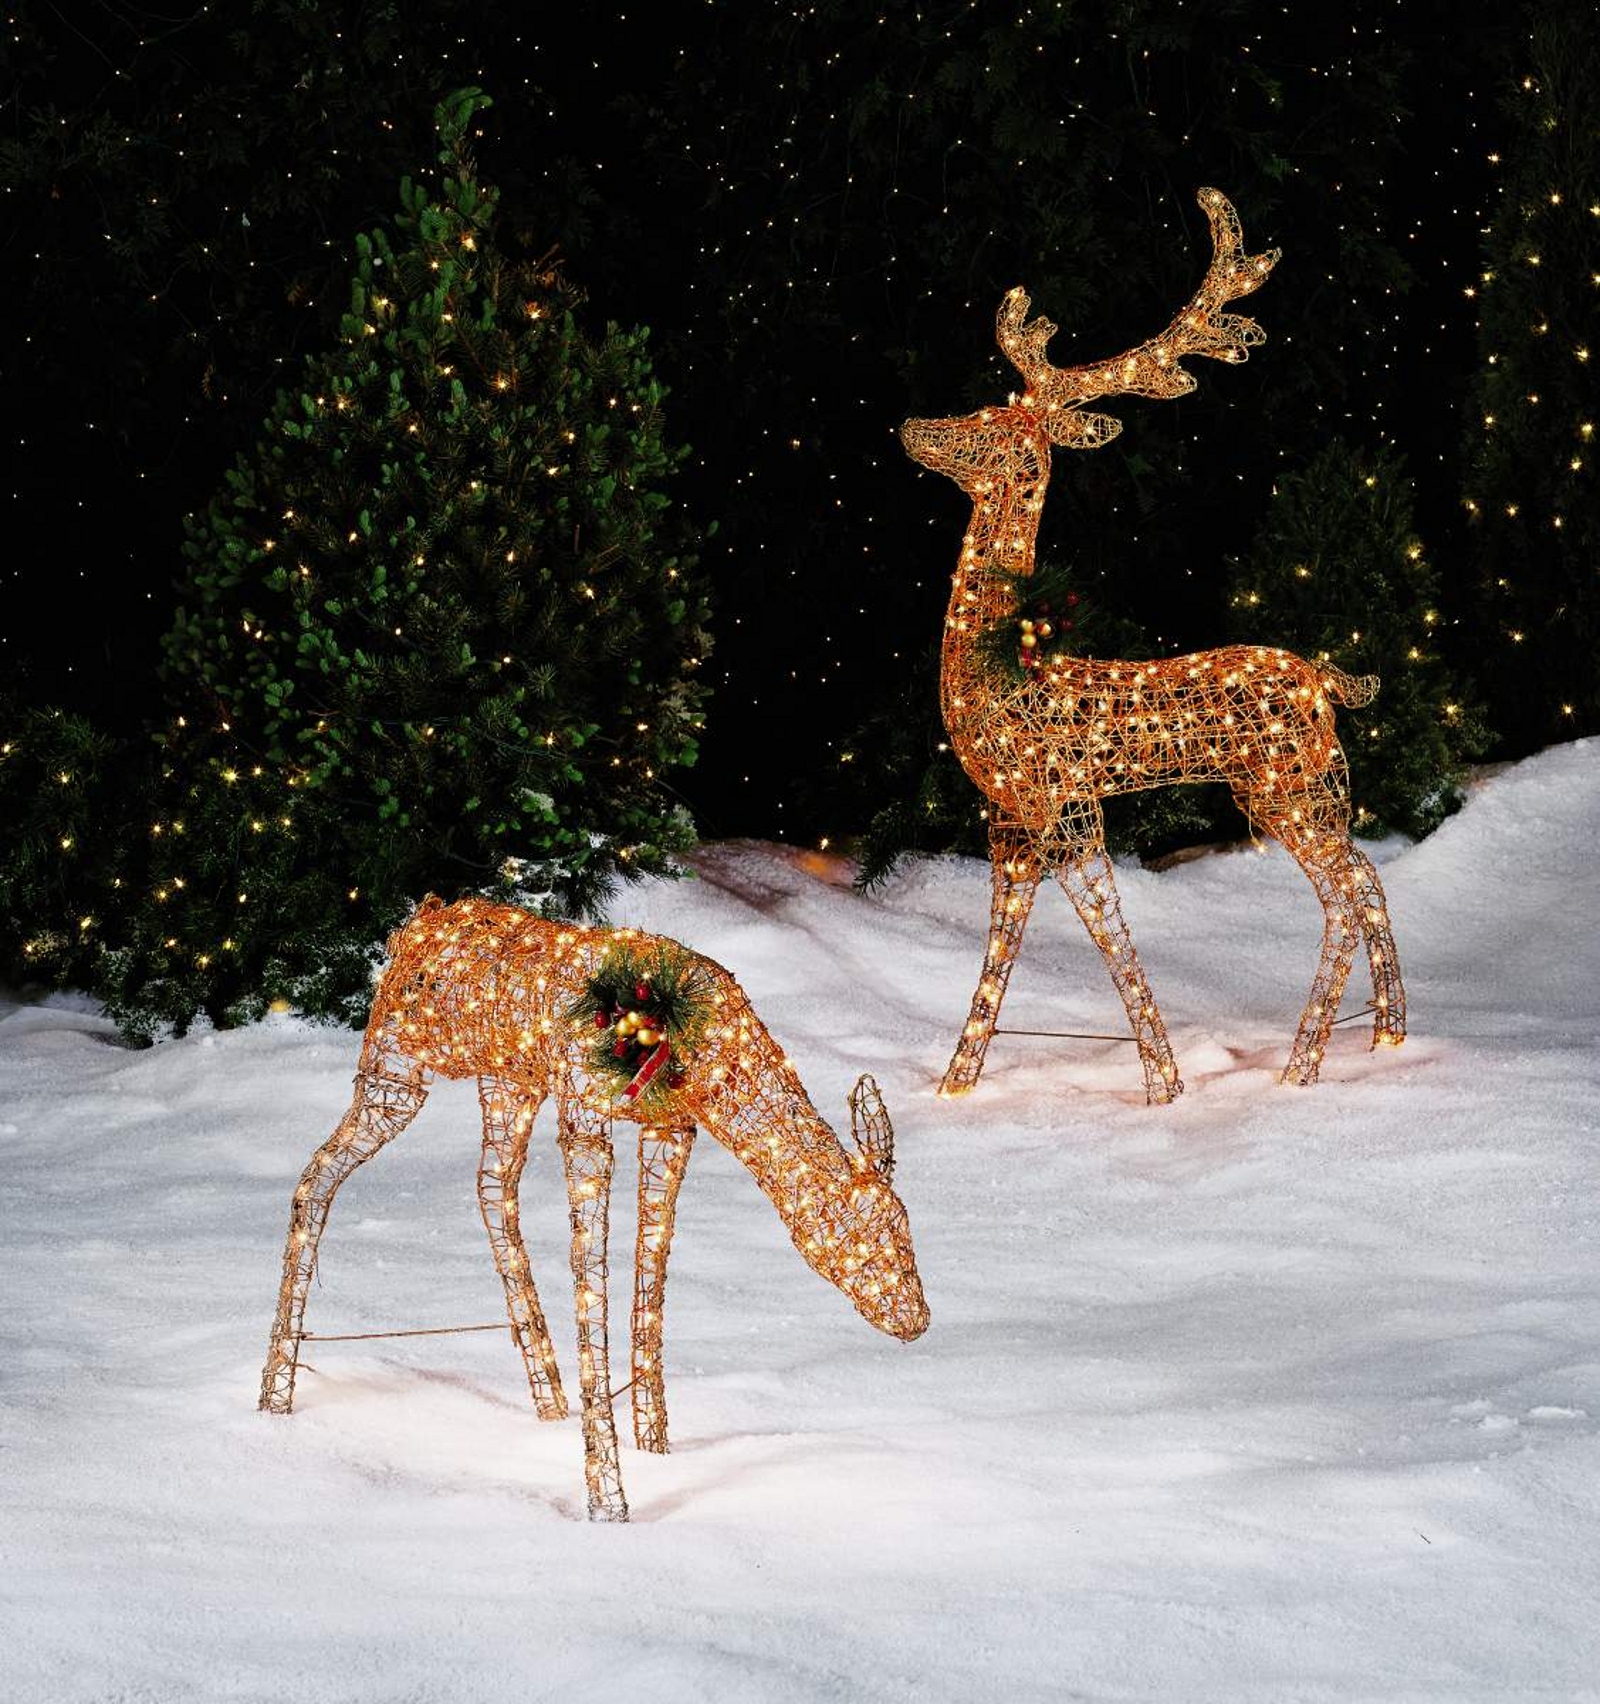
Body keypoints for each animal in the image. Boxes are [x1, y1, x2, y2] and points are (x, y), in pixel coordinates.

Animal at [259, 895, 929, 1522]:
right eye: (866, 1241)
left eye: (905, 1227)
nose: (915, 1320)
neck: (697, 1050)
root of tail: (418, 923)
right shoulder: (585, 1115)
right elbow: (592, 1279)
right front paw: (609, 1504)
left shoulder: (670, 1128)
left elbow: (649, 1276)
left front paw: (655, 1448)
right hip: (395, 1075)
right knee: (317, 1175)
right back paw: (274, 1399)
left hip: (508, 1082)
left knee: (490, 1187)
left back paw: (547, 1400)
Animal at [899, 187, 1406, 1105]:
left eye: (992, 423)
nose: (915, 426)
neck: (999, 668)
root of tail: (1328, 682)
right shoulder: (1010, 824)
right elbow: (999, 949)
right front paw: (955, 1085)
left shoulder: (1068, 809)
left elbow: (1111, 937)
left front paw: (1165, 1087)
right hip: (1310, 788)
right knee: (1370, 880)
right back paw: (1387, 1038)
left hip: (1286, 786)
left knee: (1346, 899)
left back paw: (1301, 1069)